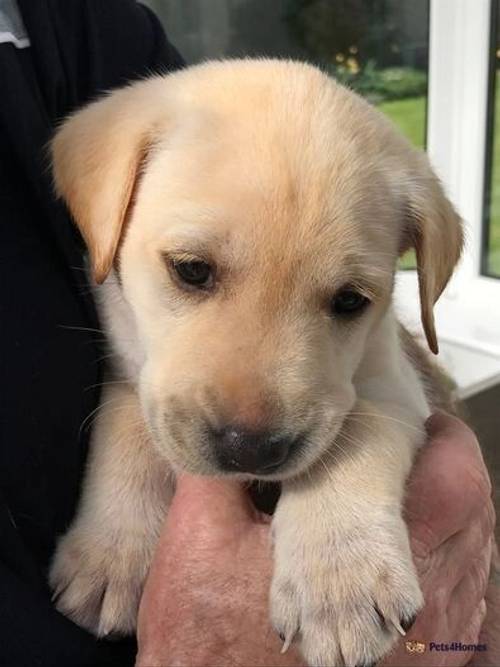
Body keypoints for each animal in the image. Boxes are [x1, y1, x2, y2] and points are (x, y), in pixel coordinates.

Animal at [47, 60, 460, 664]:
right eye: (191, 269)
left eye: (350, 301)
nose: (253, 450)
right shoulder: (128, 367)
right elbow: (126, 431)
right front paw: (110, 556)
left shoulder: (394, 385)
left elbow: (350, 440)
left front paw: (340, 582)